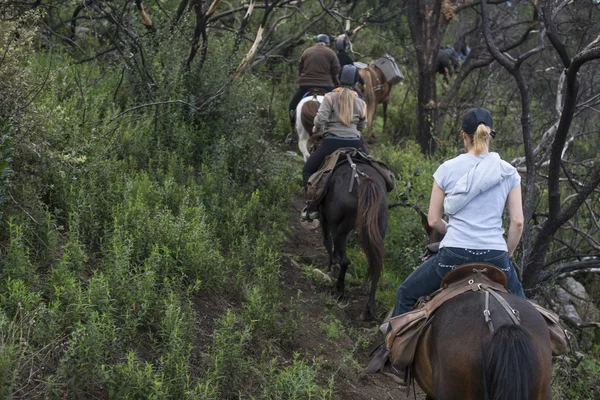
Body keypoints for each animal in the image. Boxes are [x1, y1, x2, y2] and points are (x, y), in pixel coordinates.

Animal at [322, 159, 386, 318]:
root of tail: (363, 181)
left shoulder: (325, 217)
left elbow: (327, 241)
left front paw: (330, 266)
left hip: (338, 227)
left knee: (345, 260)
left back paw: (340, 288)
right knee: (376, 267)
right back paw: (369, 309)